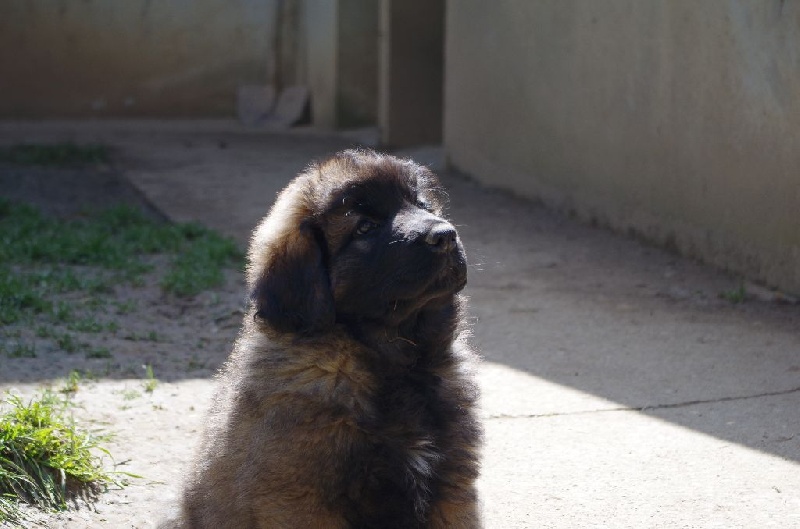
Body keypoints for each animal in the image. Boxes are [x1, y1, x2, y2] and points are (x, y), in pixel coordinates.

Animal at [180, 150, 482, 528]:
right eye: (364, 227)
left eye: (421, 204)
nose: (444, 235)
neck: (395, 361)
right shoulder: (301, 497)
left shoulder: (451, 483)